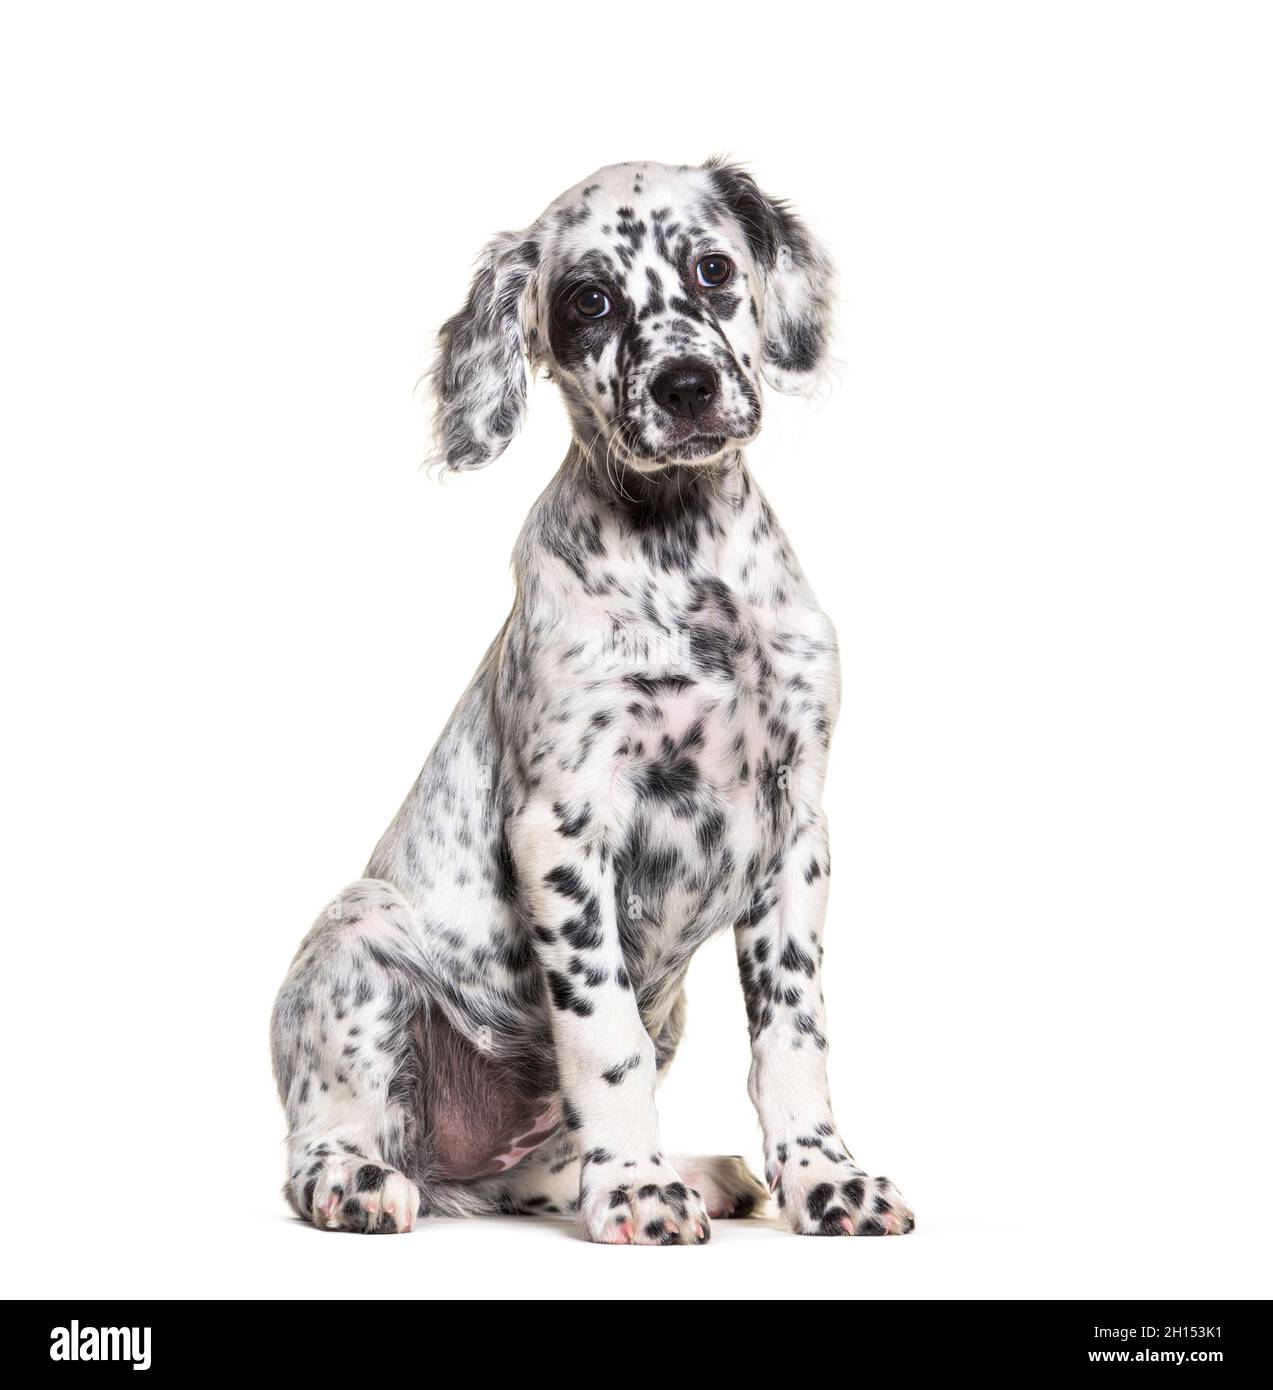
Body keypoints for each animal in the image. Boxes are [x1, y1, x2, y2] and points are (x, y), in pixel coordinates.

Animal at [270, 157, 917, 1245]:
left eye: (712, 270)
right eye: (589, 302)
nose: (685, 386)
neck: (691, 564)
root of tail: (454, 1174)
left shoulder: (796, 824)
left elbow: (791, 1033)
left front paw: (824, 1179)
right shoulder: (564, 823)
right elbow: (603, 1037)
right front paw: (636, 1191)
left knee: (534, 1176)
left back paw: (696, 1170)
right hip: (356, 936)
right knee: (325, 1136)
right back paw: (355, 1183)